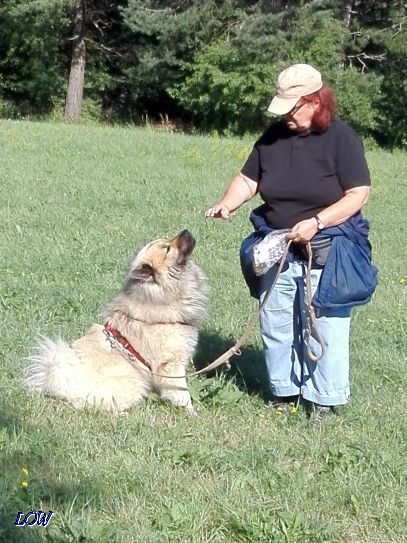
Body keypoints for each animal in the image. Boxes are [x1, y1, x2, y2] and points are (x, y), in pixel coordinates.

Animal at [25, 231, 209, 412]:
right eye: (167, 248)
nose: (186, 231)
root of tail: (62, 386)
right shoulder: (171, 365)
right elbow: (182, 392)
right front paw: (190, 413)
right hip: (133, 381)